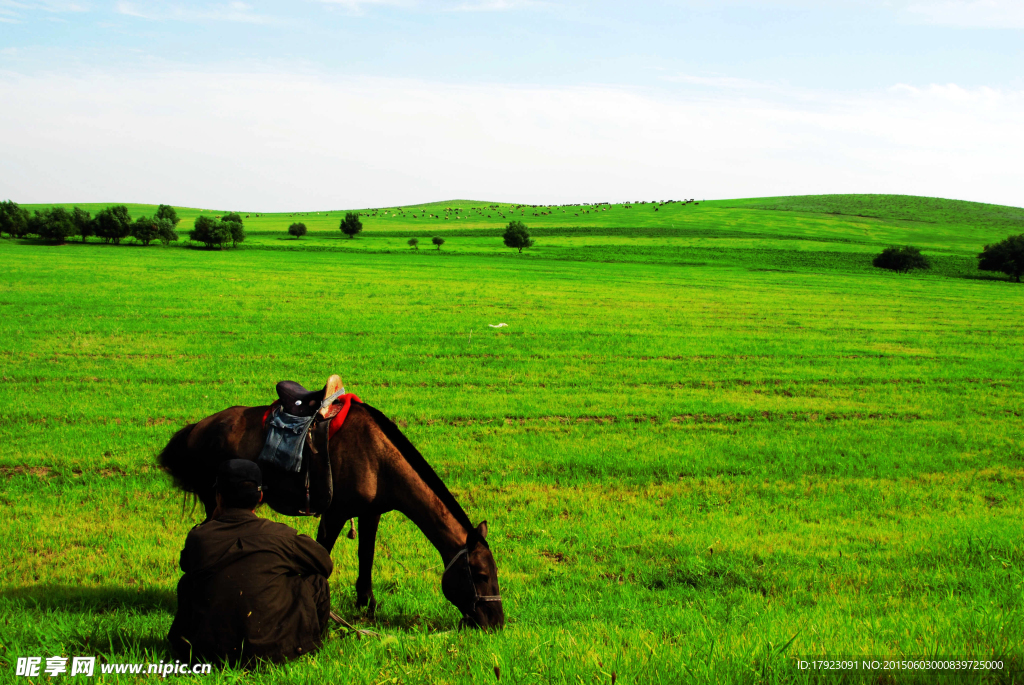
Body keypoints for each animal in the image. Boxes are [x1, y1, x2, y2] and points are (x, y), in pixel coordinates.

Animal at [157, 401, 505, 630]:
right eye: (481, 575)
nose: (497, 622)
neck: (378, 456)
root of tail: (197, 428)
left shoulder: (370, 513)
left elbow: (366, 556)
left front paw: (366, 605)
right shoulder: (335, 514)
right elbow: (321, 554)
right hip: (214, 501)